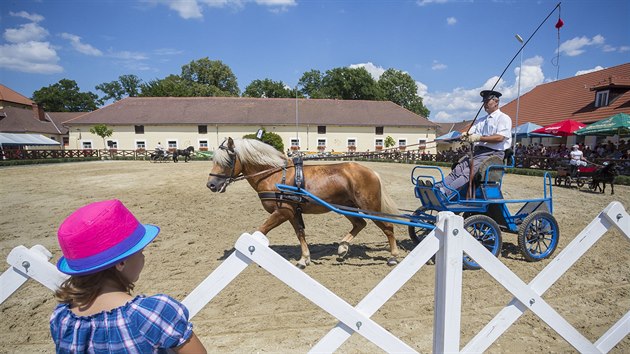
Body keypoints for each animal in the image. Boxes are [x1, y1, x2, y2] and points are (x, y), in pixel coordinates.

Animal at [207, 138, 400, 268]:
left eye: (227, 161)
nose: (211, 185)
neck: (274, 176)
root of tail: (371, 171)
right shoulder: (292, 212)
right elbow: (300, 233)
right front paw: (304, 259)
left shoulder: (283, 212)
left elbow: (262, 230)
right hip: (346, 207)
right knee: (360, 224)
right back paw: (342, 248)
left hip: (369, 207)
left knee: (388, 228)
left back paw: (393, 256)